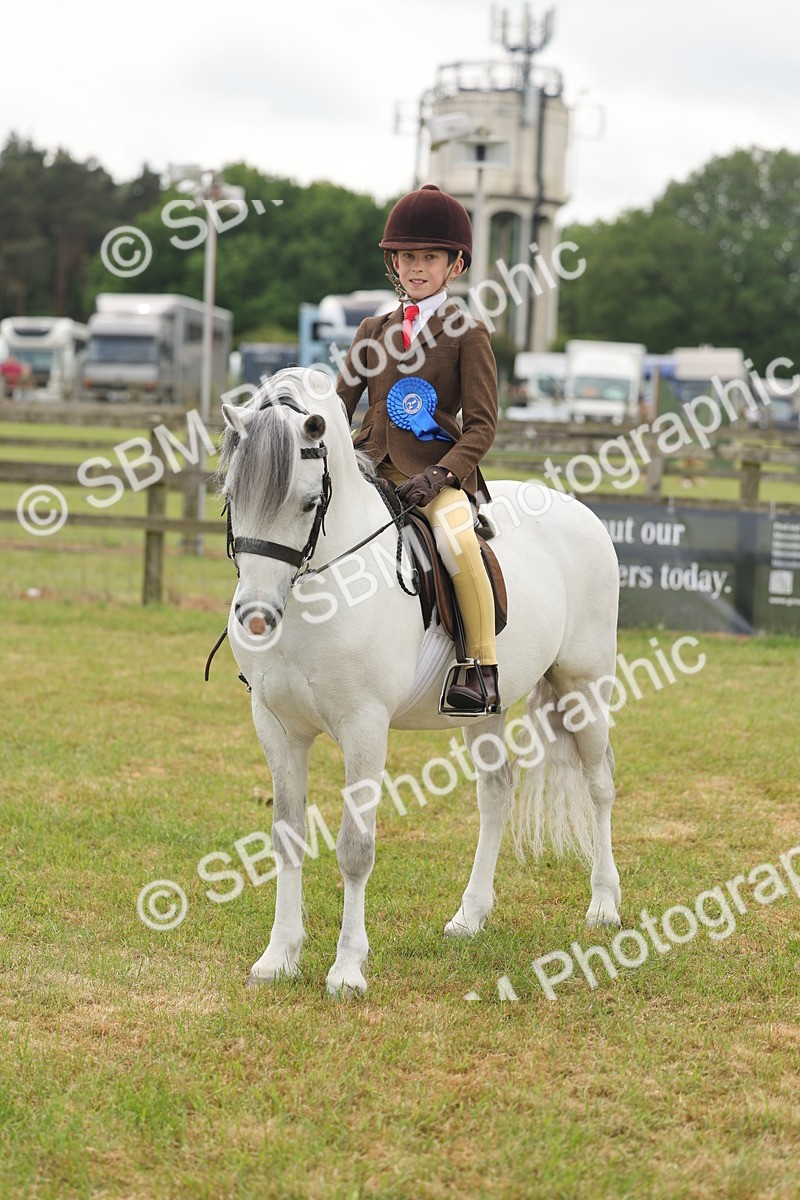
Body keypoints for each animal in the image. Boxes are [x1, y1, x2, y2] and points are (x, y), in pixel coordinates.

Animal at [216, 367, 622, 997]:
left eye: (308, 503)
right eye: (233, 497)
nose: (256, 617)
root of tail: (581, 513)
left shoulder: (364, 727)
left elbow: (355, 848)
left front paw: (348, 969)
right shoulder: (277, 727)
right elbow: (286, 837)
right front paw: (278, 957)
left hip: (585, 686)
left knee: (599, 783)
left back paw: (604, 905)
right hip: (486, 707)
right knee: (496, 792)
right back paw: (470, 916)